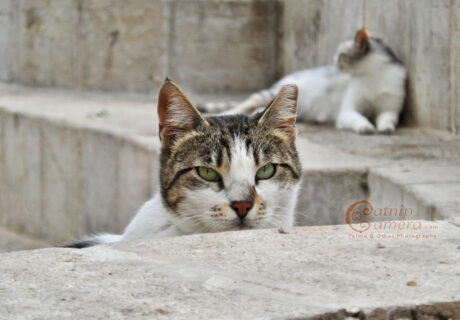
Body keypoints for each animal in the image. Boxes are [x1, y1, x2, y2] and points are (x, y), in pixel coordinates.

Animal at [201, 29, 406, 135]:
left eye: (340, 55)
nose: (333, 60)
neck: (374, 76)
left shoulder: (390, 107)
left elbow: (388, 118)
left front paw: (385, 128)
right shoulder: (348, 110)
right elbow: (357, 118)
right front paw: (366, 127)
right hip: (268, 94)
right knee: (247, 103)